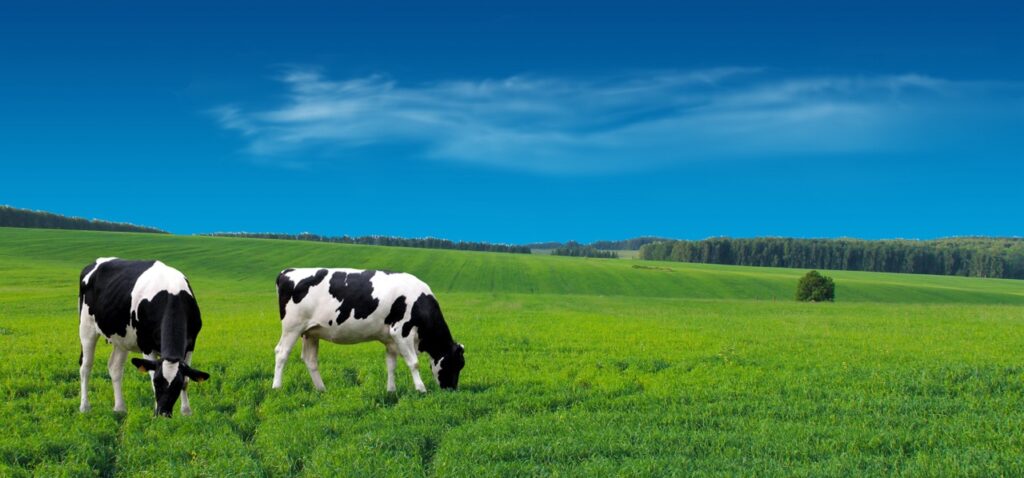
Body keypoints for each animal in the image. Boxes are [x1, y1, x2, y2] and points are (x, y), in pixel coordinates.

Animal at [78, 255, 211, 417]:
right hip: (86, 327)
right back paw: (85, 407)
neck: (172, 294)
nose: (163, 413)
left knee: (115, 367)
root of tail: (96, 262)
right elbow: (151, 376)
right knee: (86, 366)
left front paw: (186, 412)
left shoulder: (191, 345)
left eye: (177, 385)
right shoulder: (146, 346)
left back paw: (120, 408)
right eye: (157, 383)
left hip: (122, 338)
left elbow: (187, 379)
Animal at [272, 268, 464, 395]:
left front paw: (391, 391)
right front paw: (421, 389)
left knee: (310, 359)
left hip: (311, 332)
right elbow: (414, 363)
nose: (452, 389)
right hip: (292, 326)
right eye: (456, 364)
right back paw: (277, 387)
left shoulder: (391, 339)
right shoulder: (401, 331)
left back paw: (321, 389)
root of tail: (288, 271)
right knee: (282, 353)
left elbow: (391, 365)